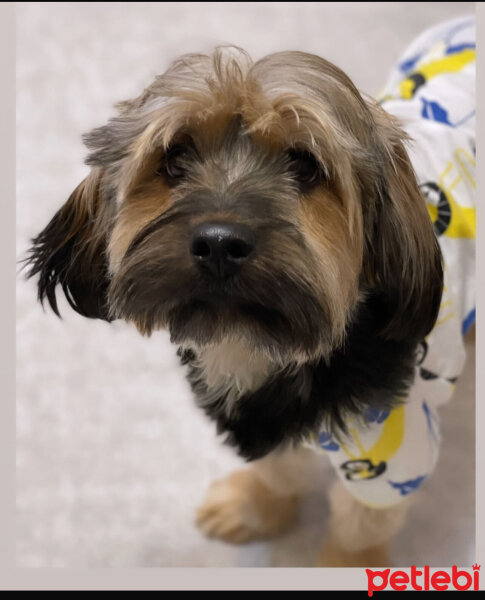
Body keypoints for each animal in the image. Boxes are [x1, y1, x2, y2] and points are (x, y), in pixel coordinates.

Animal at [24, 15, 474, 568]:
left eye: (305, 165)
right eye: (174, 158)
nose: (219, 243)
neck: (257, 350)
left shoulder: (394, 453)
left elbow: (359, 525)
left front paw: (340, 566)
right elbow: (280, 468)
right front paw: (257, 506)